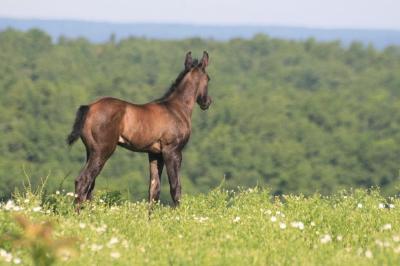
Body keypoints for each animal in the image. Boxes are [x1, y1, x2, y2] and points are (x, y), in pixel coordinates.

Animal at [68, 51, 212, 210]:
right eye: (208, 78)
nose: (207, 102)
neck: (176, 108)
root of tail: (88, 108)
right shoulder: (173, 151)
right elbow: (175, 187)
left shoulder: (155, 154)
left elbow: (154, 190)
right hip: (102, 151)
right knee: (83, 180)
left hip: (91, 151)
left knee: (90, 185)